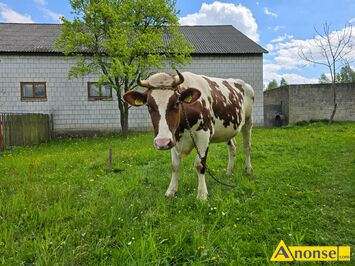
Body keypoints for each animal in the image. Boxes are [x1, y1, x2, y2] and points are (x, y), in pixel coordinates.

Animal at [124, 70, 254, 200]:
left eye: (176, 103)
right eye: (149, 106)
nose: (161, 142)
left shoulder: (204, 135)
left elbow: (199, 165)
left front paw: (202, 194)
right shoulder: (173, 138)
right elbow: (174, 165)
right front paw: (171, 191)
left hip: (248, 121)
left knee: (247, 147)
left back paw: (248, 169)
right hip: (229, 129)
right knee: (232, 147)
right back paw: (229, 171)